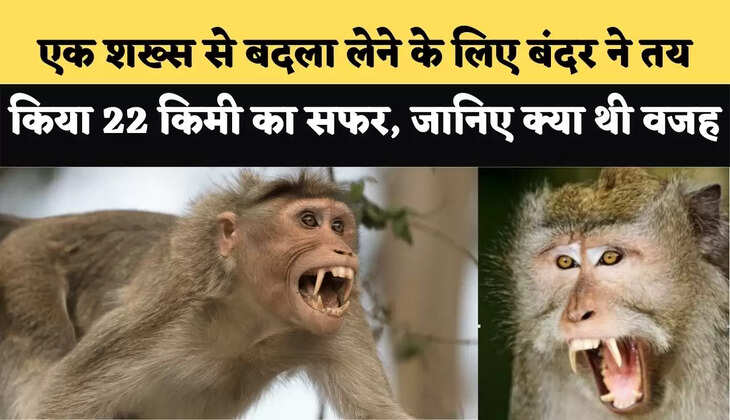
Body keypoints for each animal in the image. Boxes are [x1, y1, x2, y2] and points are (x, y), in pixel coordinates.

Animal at [0, 171, 410, 419]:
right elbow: (56, 401)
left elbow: (379, 412)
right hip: (21, 274)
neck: (250, 318)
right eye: (309, 221)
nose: (344, 250)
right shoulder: (163, 310)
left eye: (338, 226)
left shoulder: (345, 322)